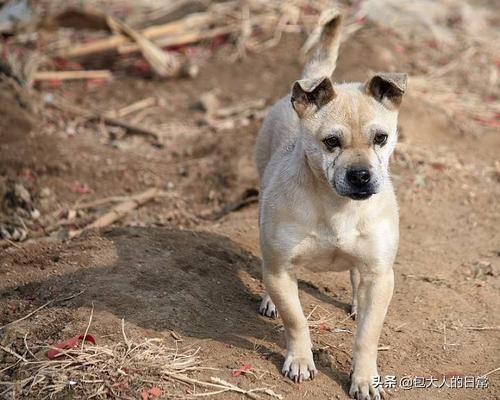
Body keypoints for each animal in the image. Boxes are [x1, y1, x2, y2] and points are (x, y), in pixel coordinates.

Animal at [254, 10, 406, 398]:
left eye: (381, 138)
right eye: (331, 142)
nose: (361, 175)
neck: (338, 207)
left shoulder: (381, 276)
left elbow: (367, 336)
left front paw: (364, 378)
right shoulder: (280, 271)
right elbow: (296, 320)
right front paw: (300, 360)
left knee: (355, 276)